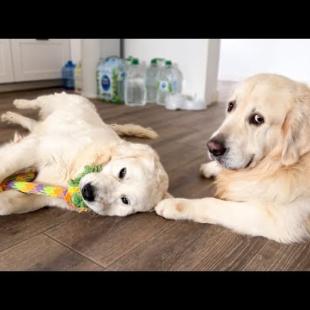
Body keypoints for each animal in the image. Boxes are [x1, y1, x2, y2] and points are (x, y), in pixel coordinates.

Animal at [0, 92, 170, 216]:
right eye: (122, 172)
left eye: (124, 200)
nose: (88, 192)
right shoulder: (35, 149)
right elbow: (5, 167)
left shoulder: (44, 195)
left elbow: (8, 205)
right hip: (53, 101)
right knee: (36, 101)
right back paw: (17, 104)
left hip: (42, 126)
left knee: (32, 124)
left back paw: (11, 117)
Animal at [156, 74, 310, 243]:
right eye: (230, 106)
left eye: (258, 119)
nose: (212, 147)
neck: (276, 166)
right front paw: (211, 167)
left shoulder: (279, 218)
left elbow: (211, 203)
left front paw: (175, 204)